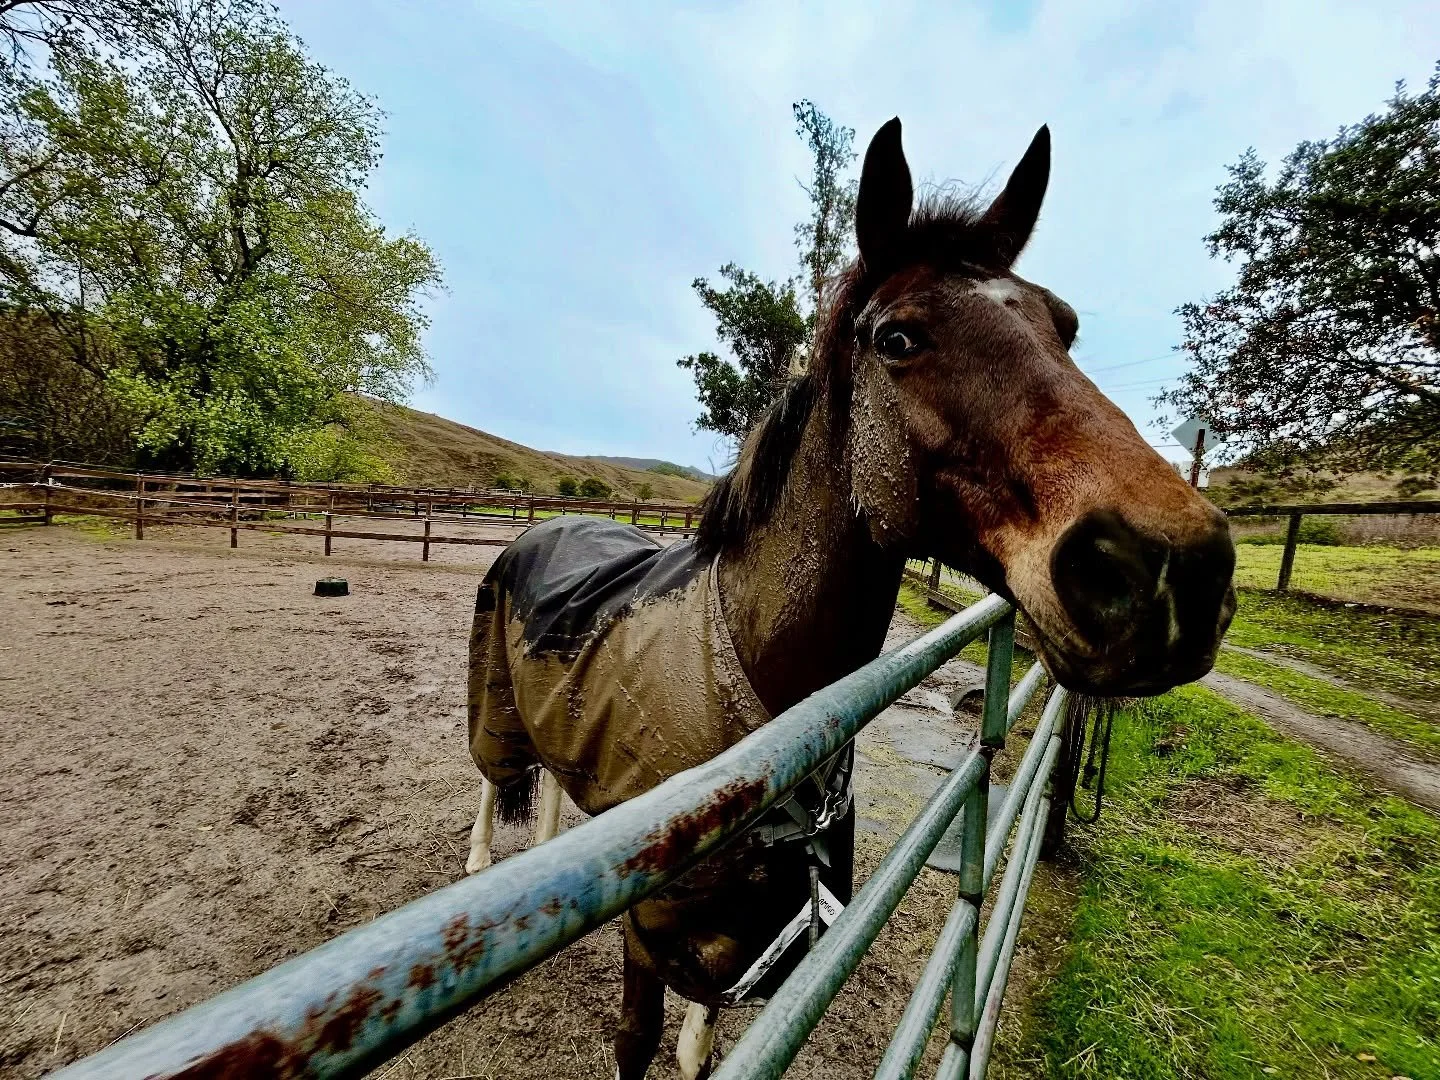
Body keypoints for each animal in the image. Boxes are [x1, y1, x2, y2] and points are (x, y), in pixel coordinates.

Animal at [464, 118, 1236, 1079]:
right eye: (897, 338)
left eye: (1065, 324)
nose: (1176, 566)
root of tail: (545, 525)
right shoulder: (651, 934)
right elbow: (635, 1042)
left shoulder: (758, 925)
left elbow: (703, 1038)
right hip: (493, 713)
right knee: (493, 786)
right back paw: (482, 867)